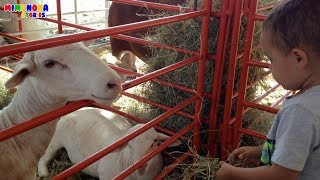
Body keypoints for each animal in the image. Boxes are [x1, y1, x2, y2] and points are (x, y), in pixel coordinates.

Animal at [38, 107, 180, 179]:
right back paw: (44, 173)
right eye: (129, 145)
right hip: (56, 139)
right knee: (44, 157)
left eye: (154, 142)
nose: (140, 166)